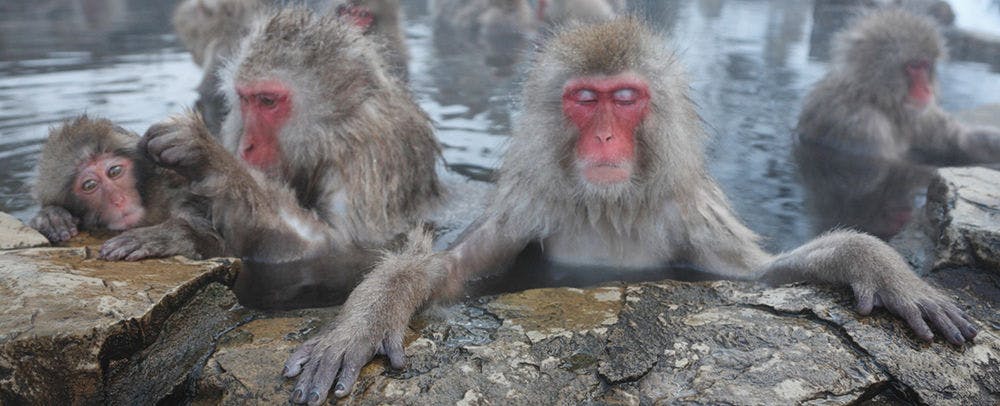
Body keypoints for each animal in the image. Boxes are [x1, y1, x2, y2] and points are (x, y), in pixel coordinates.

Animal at [29, 115, 224, 261]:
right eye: (89, 185)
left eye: (114, 171)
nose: (118, 200)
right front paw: (51, 217)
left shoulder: (183, 203)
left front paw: (163, 237)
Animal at [281, 19, 978, 404]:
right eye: (586, 99)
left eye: (625, 98)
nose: (607, 138)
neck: (609, 206)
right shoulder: (530, 205)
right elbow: (447, 272)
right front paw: (364, 320)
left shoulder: (691, 213)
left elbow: (758, 275)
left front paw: (876, 264)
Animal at [794, 9, 1000, 239]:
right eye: (913, 66)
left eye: (925, 65)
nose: (927, 90)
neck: (876, 99)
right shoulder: (863, 125)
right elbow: (886, 166)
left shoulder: (920, 115)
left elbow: (958, 141)